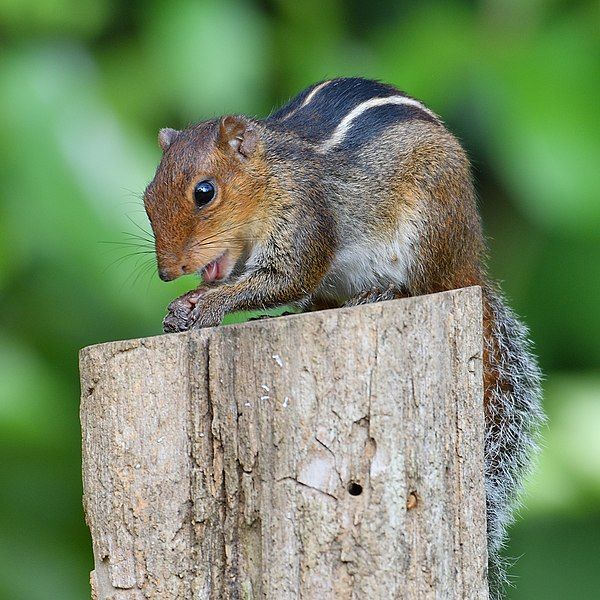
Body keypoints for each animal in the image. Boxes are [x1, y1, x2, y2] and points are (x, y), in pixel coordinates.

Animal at [144, 76, 544, 596]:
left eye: (204, 192)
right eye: (148, 196)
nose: (168, 273)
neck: (270, 173)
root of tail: (469, 265)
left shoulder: (304, 218)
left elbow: (286, 277)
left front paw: (207, 305)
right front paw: (187, 307)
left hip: (428, 227)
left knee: (418, 286)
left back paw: (379, 293)